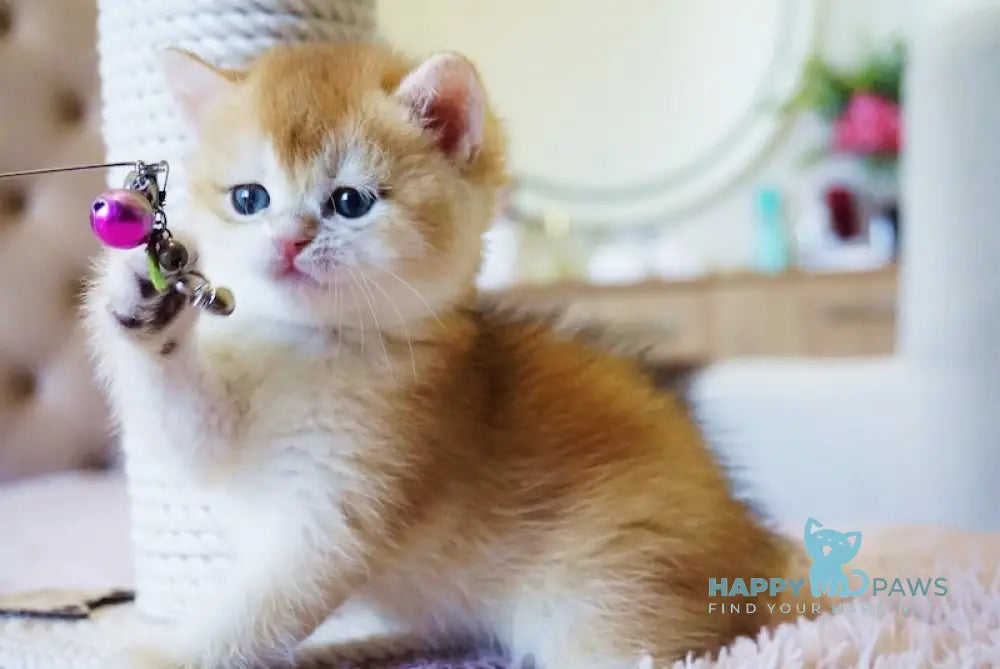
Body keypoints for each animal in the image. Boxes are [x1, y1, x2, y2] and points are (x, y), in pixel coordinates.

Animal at [88, 43, 812, 668]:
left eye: (349, 201)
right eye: (249, 198)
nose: (290, 240)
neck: (314, 346)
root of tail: (757, 552)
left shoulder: (348, 506)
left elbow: (253, 612)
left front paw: (163, 655)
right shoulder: (225, 439)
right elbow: (183, 427)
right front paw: (139, 298)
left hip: (610, 596)